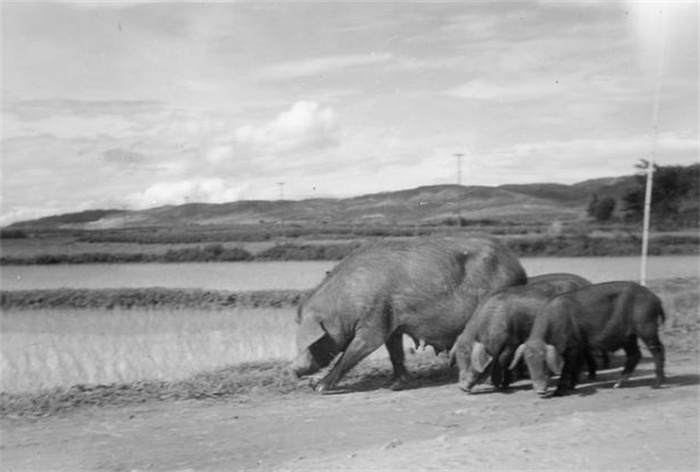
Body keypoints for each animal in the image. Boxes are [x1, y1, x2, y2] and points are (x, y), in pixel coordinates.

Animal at [288, 234, 524, 392]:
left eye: (314, 342)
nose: (293, 369)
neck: (345, 304)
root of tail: (519, 267)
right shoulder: (391, 324)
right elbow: (395, 354)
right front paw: (393, 385)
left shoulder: (373, 322)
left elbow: (351, 353)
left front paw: (319, 387)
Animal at [452, 272, 592, 392]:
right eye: (459, 360)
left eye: (470, 361)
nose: (462, 387)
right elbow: (509, 364)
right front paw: (504, 384)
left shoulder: (511, 342)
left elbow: (502, 362)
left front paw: (498, 386)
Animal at [512, 280, 664, 394]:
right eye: (528, 362)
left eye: (544, 361)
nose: (539, 390)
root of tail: (656, 298)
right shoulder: (580, 346)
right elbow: (576, 367)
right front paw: (571, 387)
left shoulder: (574, 346)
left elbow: (568, 368)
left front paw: (559, 391)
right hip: (628, 336)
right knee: (635, 355)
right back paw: (617, 385)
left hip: (646, 326)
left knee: (658, 350)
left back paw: (657, 384)